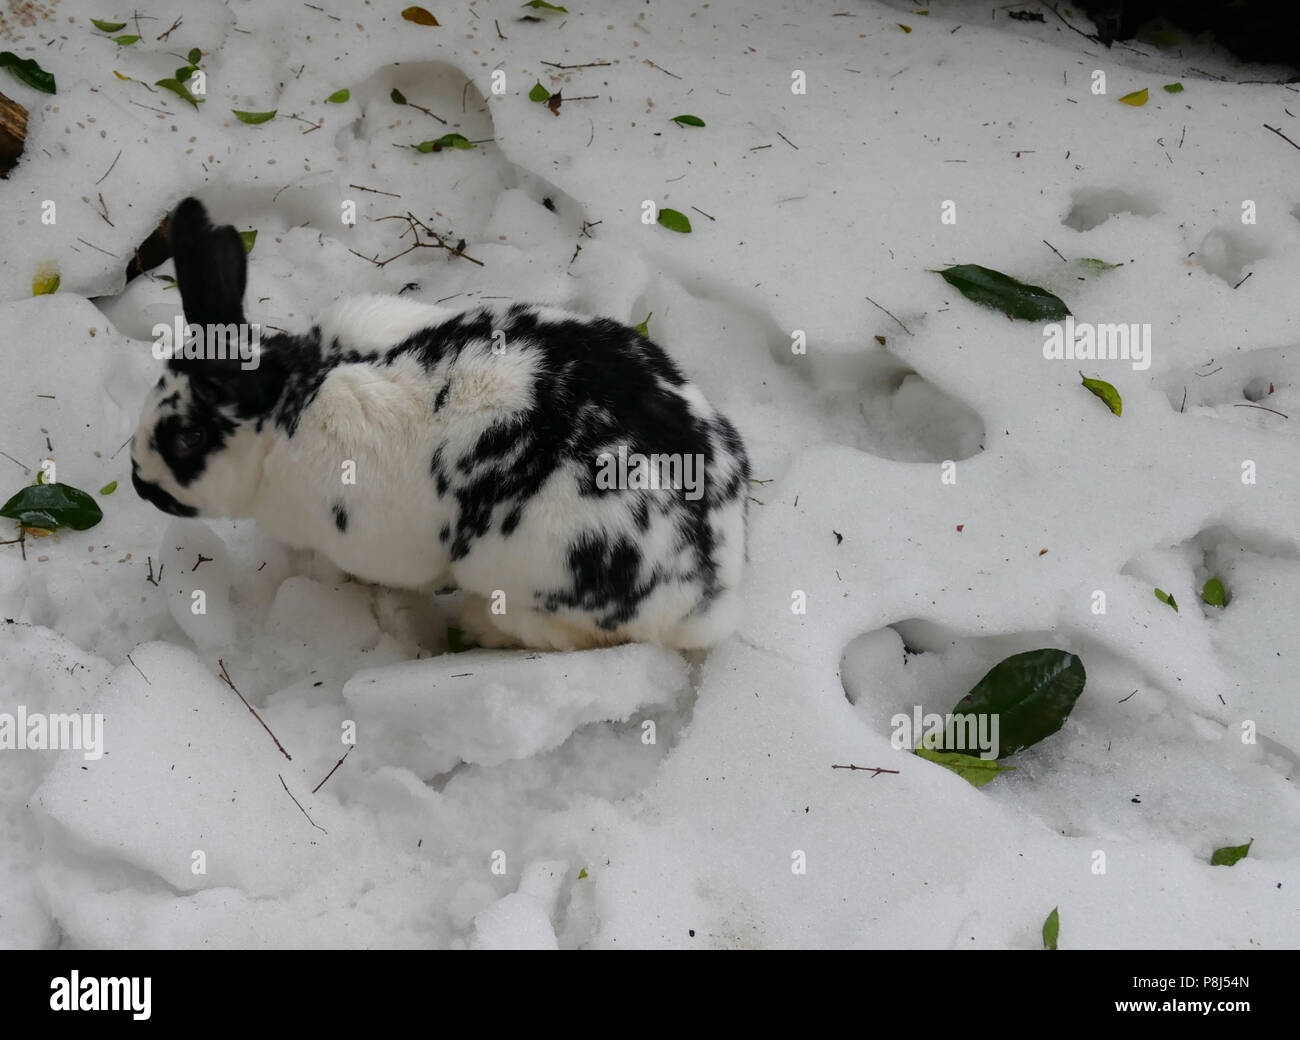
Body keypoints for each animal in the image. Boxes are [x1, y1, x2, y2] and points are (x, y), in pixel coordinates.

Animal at [130, 198, 751, 651]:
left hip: (529, 568)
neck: (293, 401)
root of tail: (712, 589)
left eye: (188, 437)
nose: (138, 483)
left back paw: (477, 627)